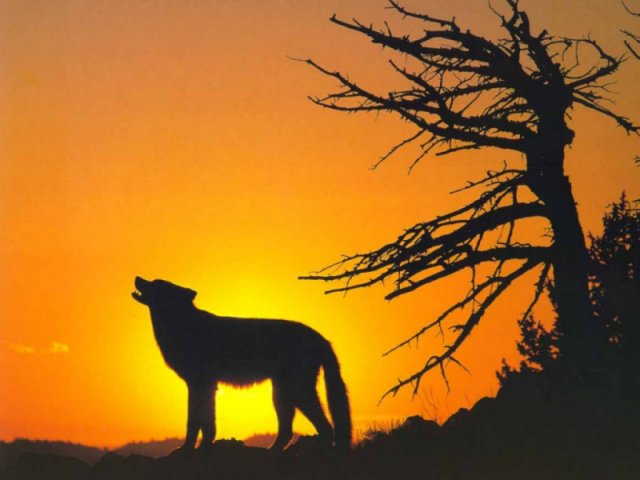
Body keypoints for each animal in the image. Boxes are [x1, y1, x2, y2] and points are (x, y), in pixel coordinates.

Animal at [132, 276, 351, 451]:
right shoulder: (206, 385)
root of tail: (321, 338)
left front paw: (188, 449)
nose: (137, 277)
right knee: (288, 431)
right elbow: (207, 421)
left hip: (297, 392)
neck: (183, 326)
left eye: (156, 284)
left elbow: (195, 421)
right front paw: (203, 446)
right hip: (282, 393)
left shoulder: (199, 384)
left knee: (325, 427)